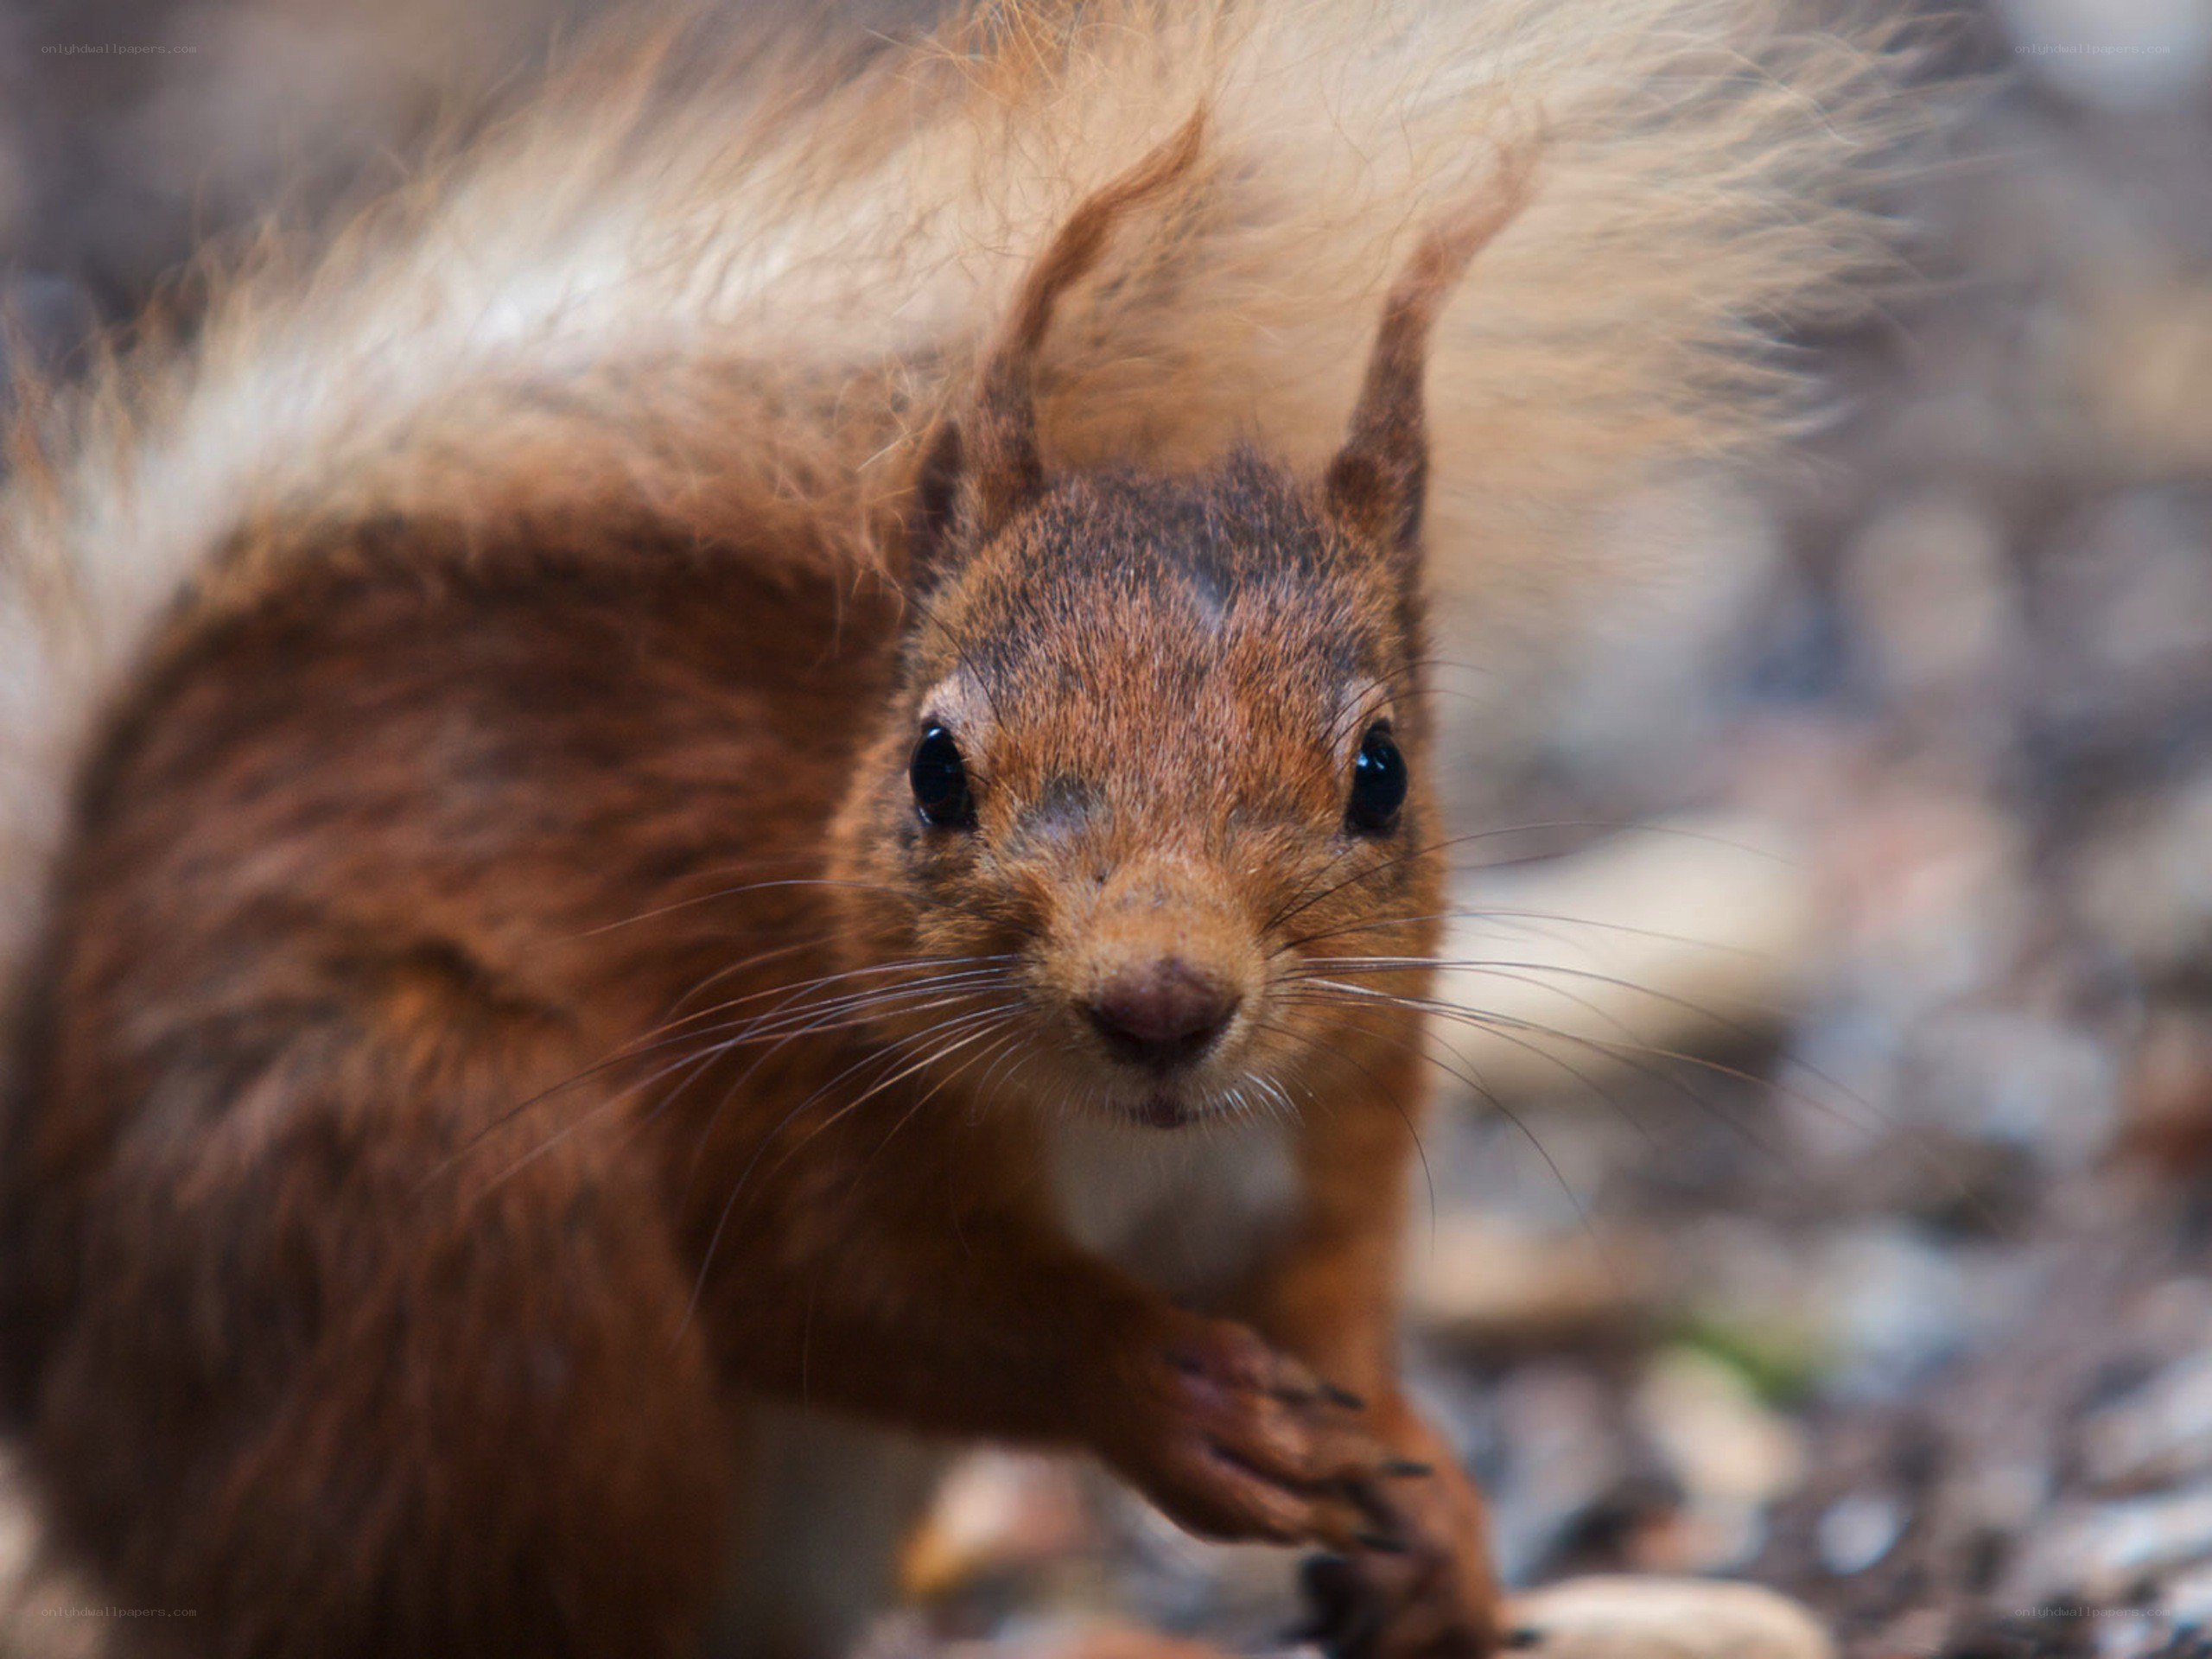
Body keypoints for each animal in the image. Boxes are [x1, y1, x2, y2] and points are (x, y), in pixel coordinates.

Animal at [0, 1, 1929, 1655]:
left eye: (1381, 772)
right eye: (933, 766)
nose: (1160, 1002)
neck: (1124, 1146)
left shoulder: (1325, 1138)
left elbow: (1333, 1313)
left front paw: (1437, 1508)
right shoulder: (756, 1088)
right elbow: (865, 1297)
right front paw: (1160, 1391)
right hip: (441, 1223)